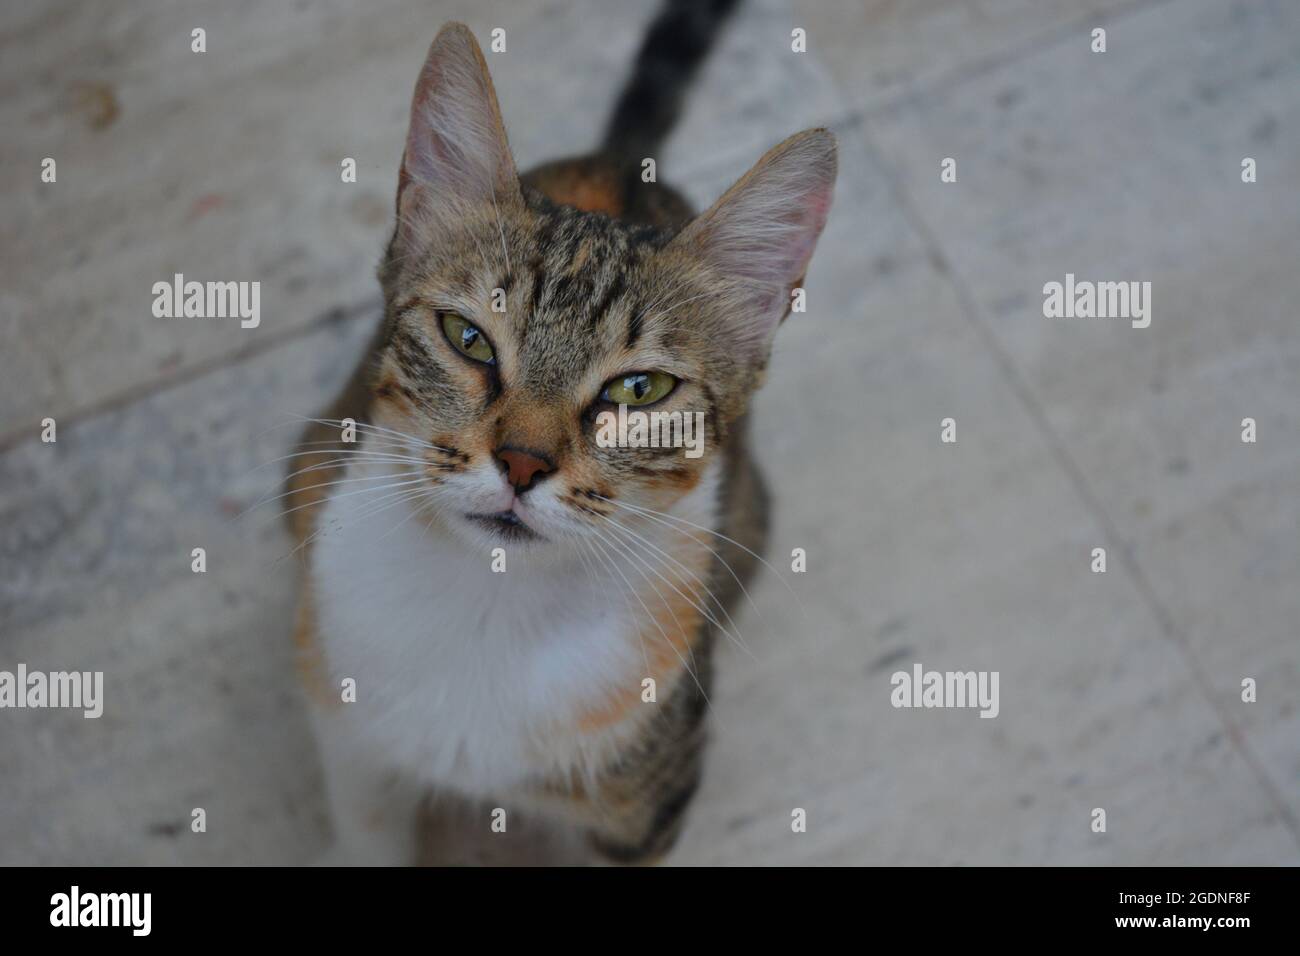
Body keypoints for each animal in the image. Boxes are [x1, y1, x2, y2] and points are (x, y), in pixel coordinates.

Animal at [280, 0, 837, 868]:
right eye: (467, 338)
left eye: (640, 390)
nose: (521, 461)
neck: (491, 602)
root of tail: (619, 162)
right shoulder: (349, 733)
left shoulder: (646, 801)